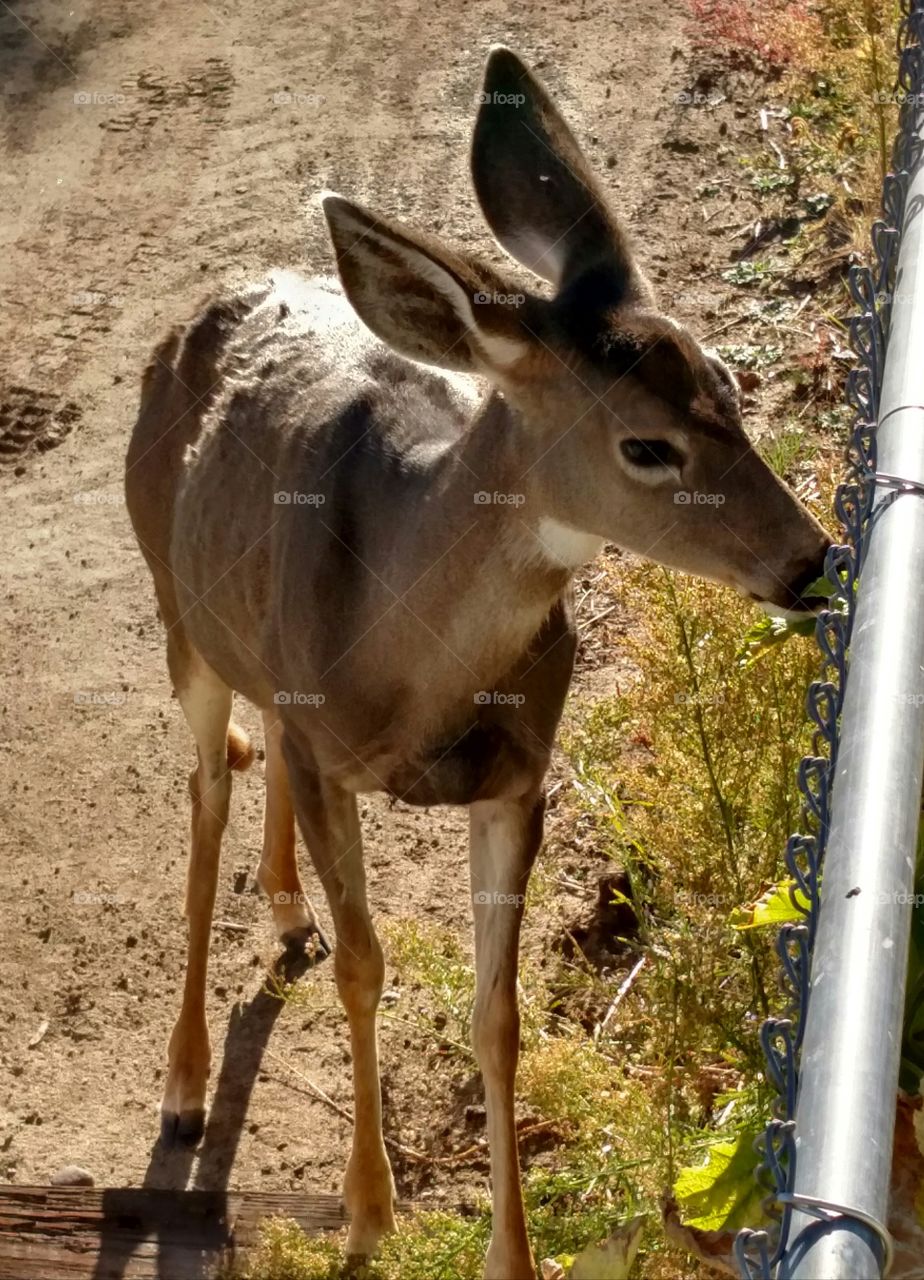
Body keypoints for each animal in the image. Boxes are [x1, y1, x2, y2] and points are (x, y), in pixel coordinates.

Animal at [124, 45, 829, 1274]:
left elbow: (498, 1015)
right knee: (208, 785)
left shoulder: (517, 773)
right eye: (646, 445)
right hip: (176, 606)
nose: (812, 559)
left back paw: (286, 914)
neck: (410, 664)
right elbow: (367, 966)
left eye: (731, 389)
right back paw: (185, 1083)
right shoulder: (325, 751)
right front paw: (368, 1212)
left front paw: (514, 1251)